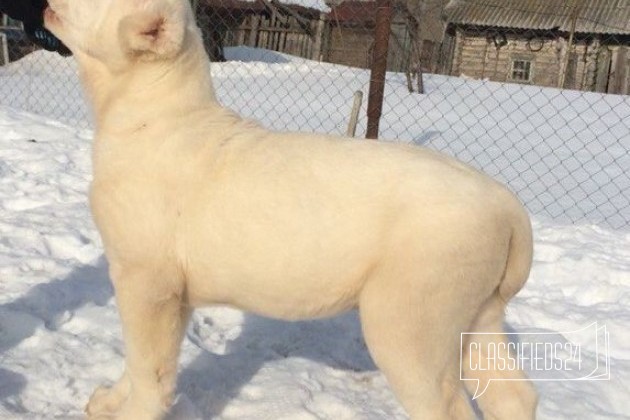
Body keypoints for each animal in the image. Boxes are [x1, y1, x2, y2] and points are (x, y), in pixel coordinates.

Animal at [44, 0, 540, 418]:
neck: (155, 115)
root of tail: (507, 205)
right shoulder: (167, 290)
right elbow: (139, 362)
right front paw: (110, 401)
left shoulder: (147, 281)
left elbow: (149, 367)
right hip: (475, 316)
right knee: (512, 394)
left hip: (411, 325)